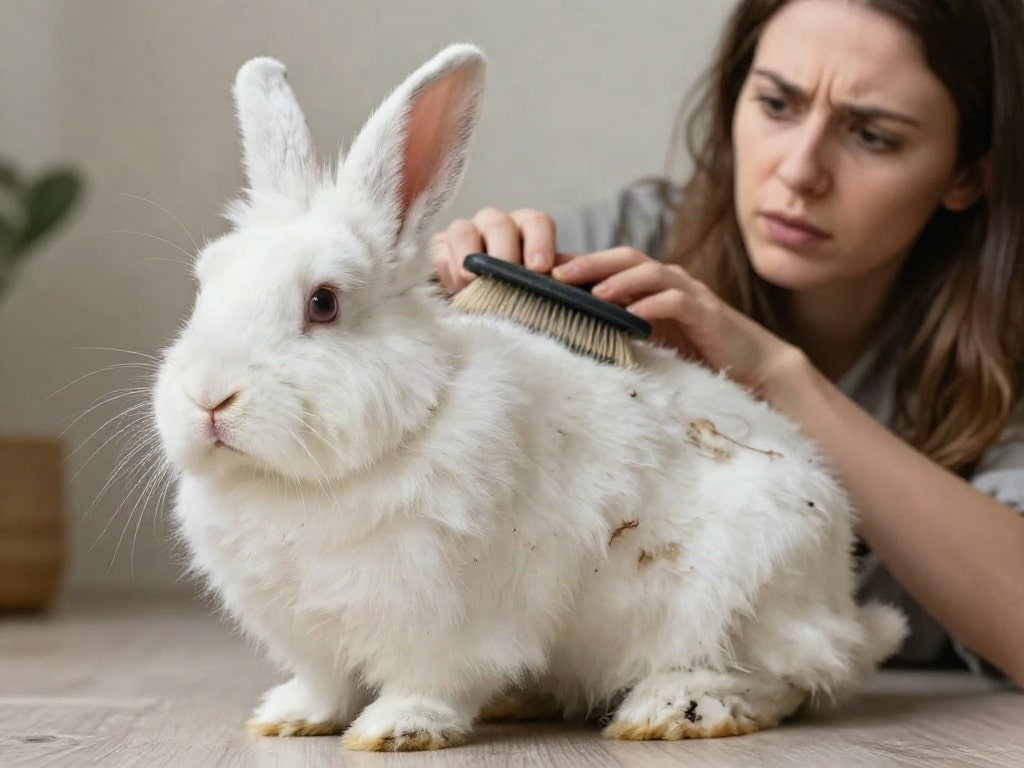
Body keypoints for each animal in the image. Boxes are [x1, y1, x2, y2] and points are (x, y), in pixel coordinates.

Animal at [152, 43, 907, 752]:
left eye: (324, 303)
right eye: (205, 283)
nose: (209, 398)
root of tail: (843, 602)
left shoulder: (445, 614)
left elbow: (429, 679)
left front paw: (397, 729)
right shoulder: (309, 631)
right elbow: (324, 682)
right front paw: (289, 718)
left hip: (741, 596)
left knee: (785, 679)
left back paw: (673, 709)